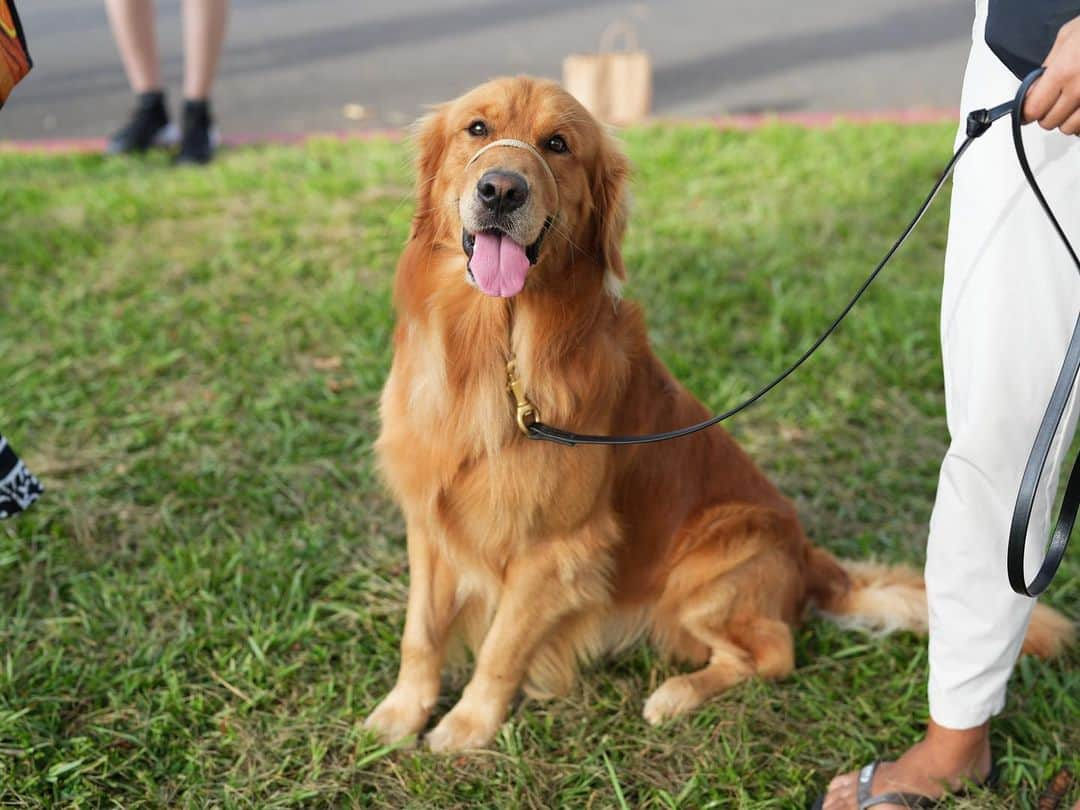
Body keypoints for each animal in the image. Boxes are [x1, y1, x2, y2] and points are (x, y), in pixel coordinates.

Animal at [367, 77, 1075, 756]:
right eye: (476, 129)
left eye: (557, 144)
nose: (501, 189)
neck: (494, 349)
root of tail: (808, 556)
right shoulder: (429, 520)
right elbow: (420, 632)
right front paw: (401, 712)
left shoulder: (556, 549)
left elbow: (501, 646)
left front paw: (468, 724)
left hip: (707, 570)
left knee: (773, 654)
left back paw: (676, 693)